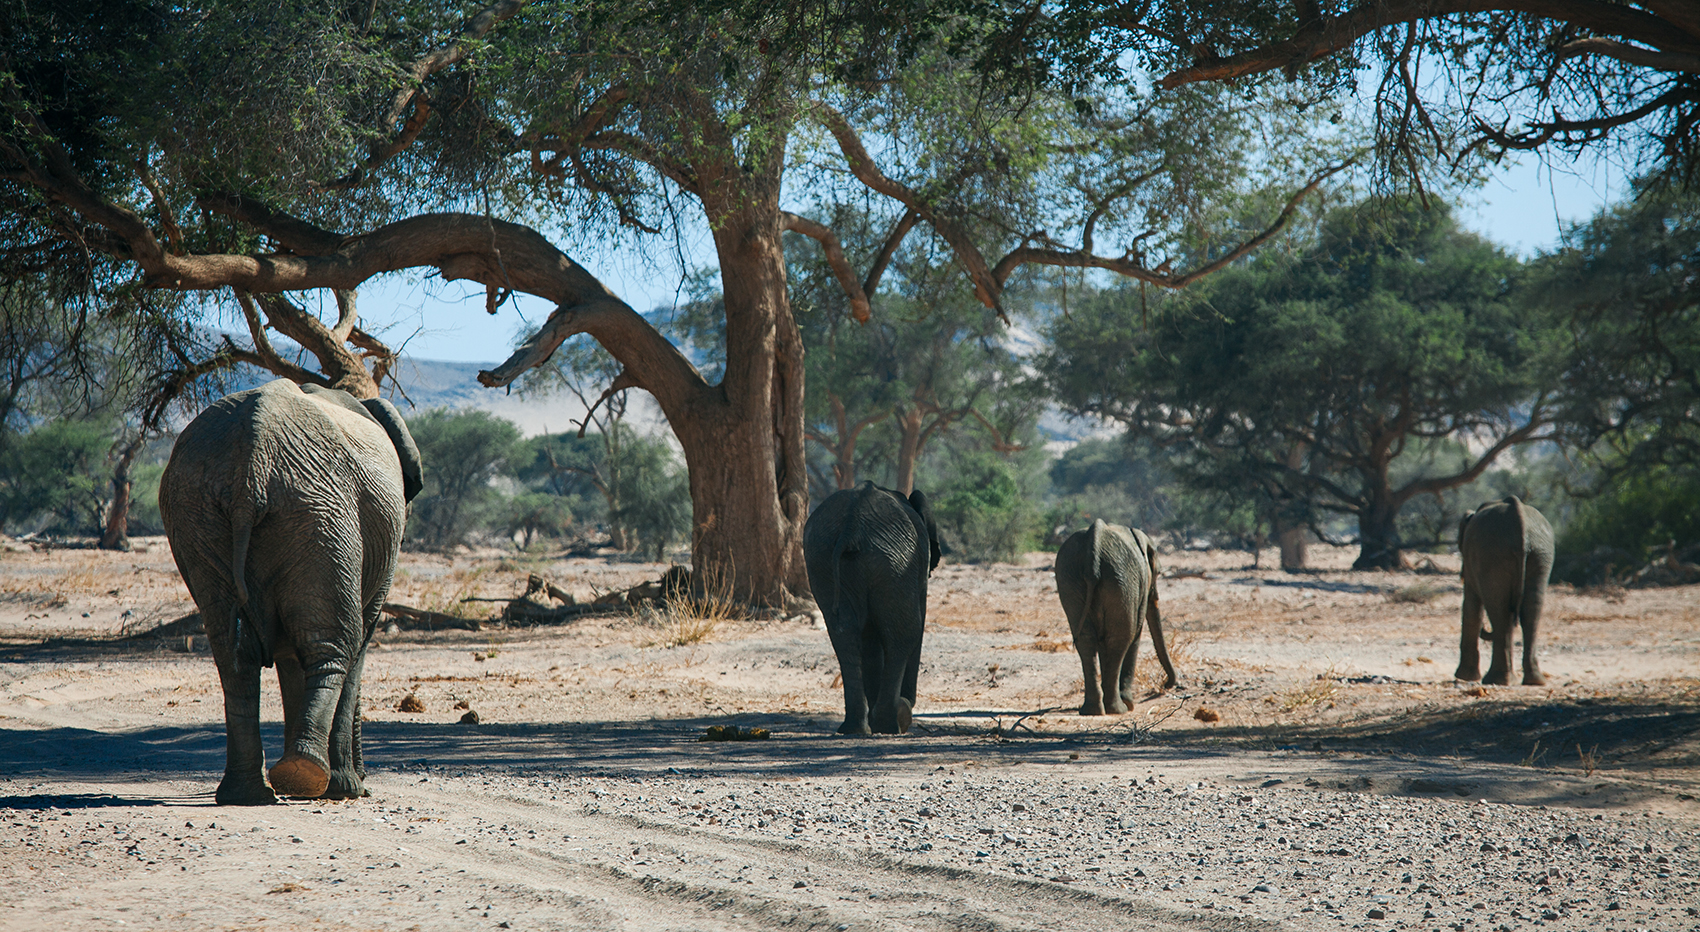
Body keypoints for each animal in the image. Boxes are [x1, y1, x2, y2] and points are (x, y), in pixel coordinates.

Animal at [159, 379, 422, 804]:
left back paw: (250, 792)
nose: (367, 782)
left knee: (233, 655)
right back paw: (311, 777)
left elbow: (286, 654)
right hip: (320, 512)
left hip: (196, 512)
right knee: (337, 644)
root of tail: (252, 457)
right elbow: (358, 644)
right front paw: (347, 789)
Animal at [804, 481, 940, 735]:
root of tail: (852, 526)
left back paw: (855, 728)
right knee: (905, 634)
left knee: (844, 636)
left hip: (824, 559)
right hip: (894, 562)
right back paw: (890, 724)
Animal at [1054, 519, 1178, 715]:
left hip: (1070, 577)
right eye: (1158, 573)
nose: (1166, 684)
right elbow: (1135, 634)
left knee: (1086, 640)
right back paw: (1119, 708)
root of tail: (1094, 544)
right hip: (1123, 580)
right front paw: (1129, 704)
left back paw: (1093, 710)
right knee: (1120, 639)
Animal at [1456, 495, 1553, 686]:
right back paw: (1534, 681)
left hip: (1492, 554)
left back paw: (1498, 680)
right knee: (1530, 610)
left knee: (1499, 611)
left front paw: (1463, 677)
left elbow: (1471, 607)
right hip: (1540, 553)